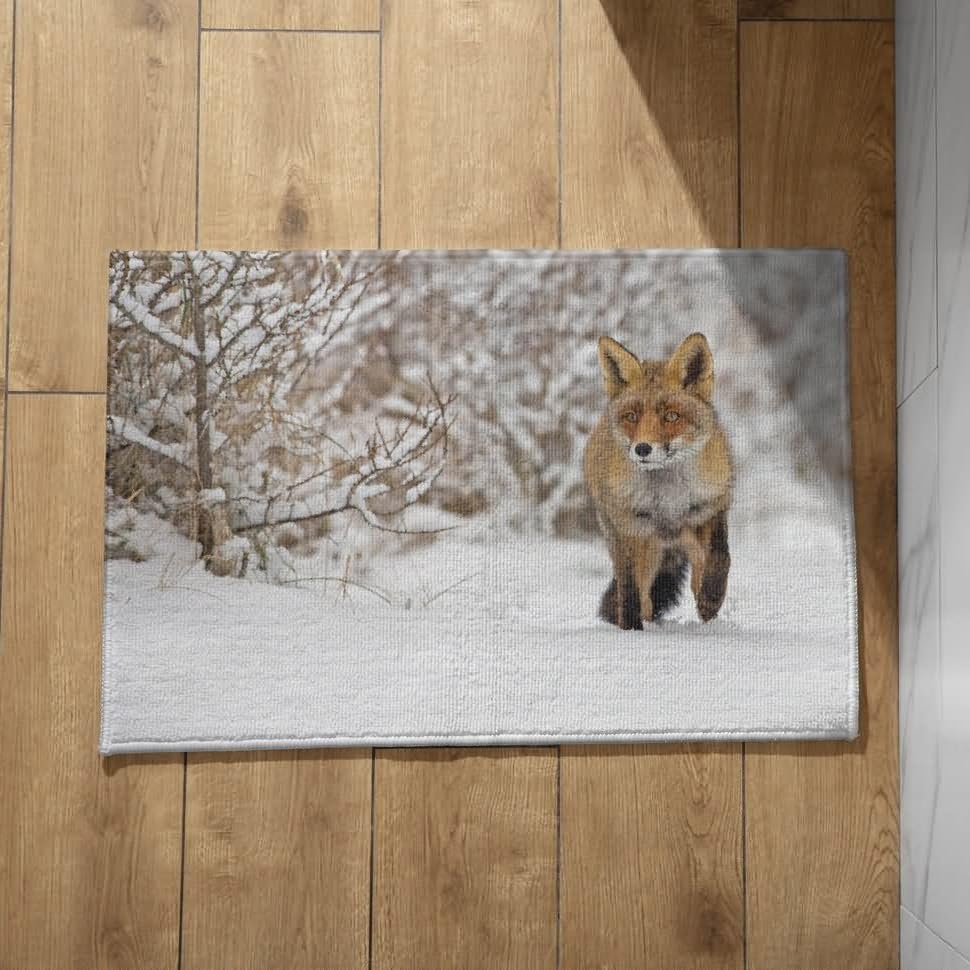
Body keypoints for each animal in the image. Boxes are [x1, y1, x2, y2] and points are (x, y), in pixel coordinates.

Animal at [584, 333, 733, 629]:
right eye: (631, 417)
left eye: (671, 416)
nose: (642, 449)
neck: (667, 500)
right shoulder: (628, 529)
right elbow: (630, 591)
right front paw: (631, 631)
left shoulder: (712, 507)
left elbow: (721, 556)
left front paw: (712, 598)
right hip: (640, 546)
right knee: (644, 597)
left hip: (686, 537)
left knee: (697, 570)